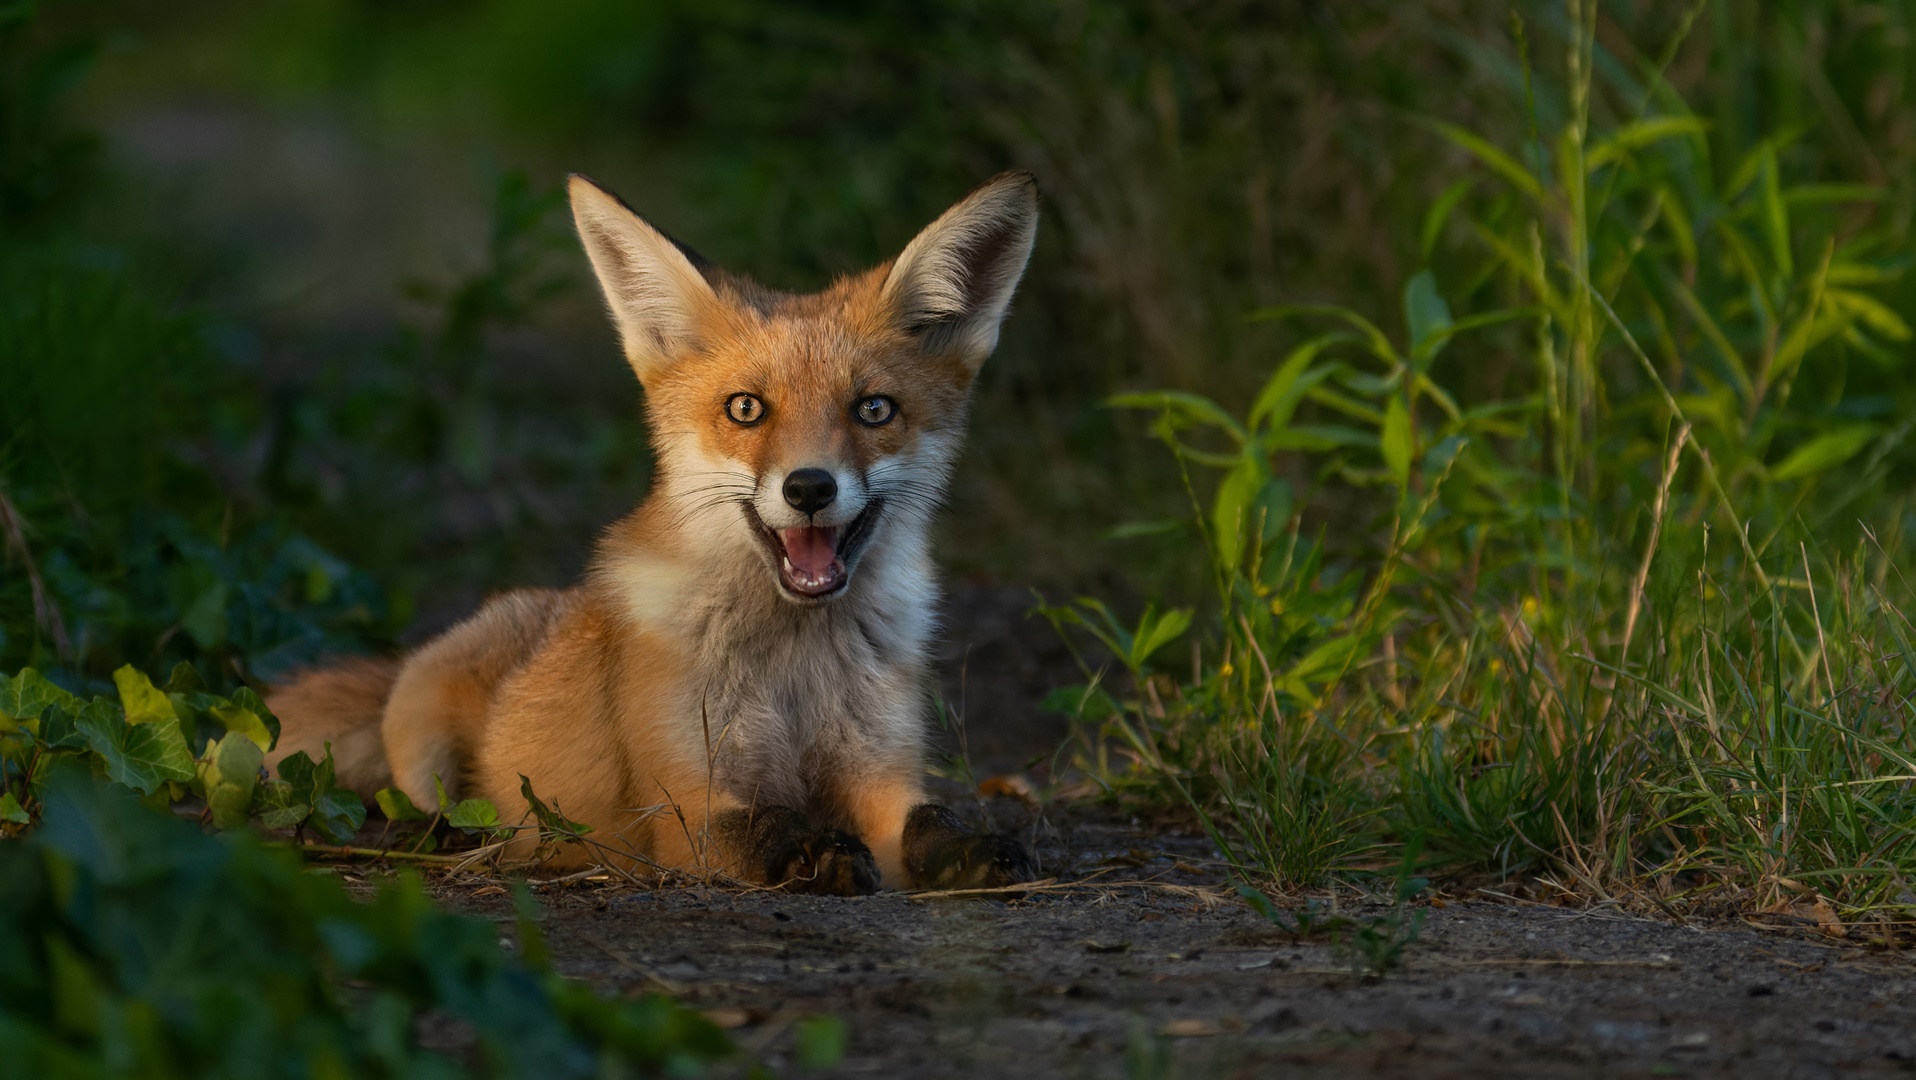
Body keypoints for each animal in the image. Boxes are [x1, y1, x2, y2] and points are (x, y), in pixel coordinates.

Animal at [262, 170, 1042, 896]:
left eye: (874, 409)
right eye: (746, 408)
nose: (809, 488)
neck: (796, 668)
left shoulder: (880, 773)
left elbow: (931, 817)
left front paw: (977, 849)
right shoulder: (685, 796)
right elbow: (764, 826)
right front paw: (818, 852)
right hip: (420, 723)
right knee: (426, 801)